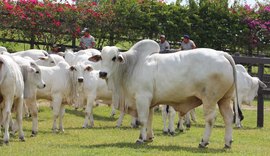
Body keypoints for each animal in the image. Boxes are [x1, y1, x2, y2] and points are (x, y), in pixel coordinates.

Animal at [89, 39, 242, 149]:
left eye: (114, 58)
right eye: (101, 57)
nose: (102, 73)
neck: (132, 66)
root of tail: (222, 54)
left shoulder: (142, 98)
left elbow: (142, 120)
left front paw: (140, 139)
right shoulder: (150, 102)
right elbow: (149, 119)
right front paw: (149, 137)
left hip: (210, 99)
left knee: (210, 119)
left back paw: (204, 142)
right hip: (225, 99)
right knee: (229, 117)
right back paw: (228, 142)